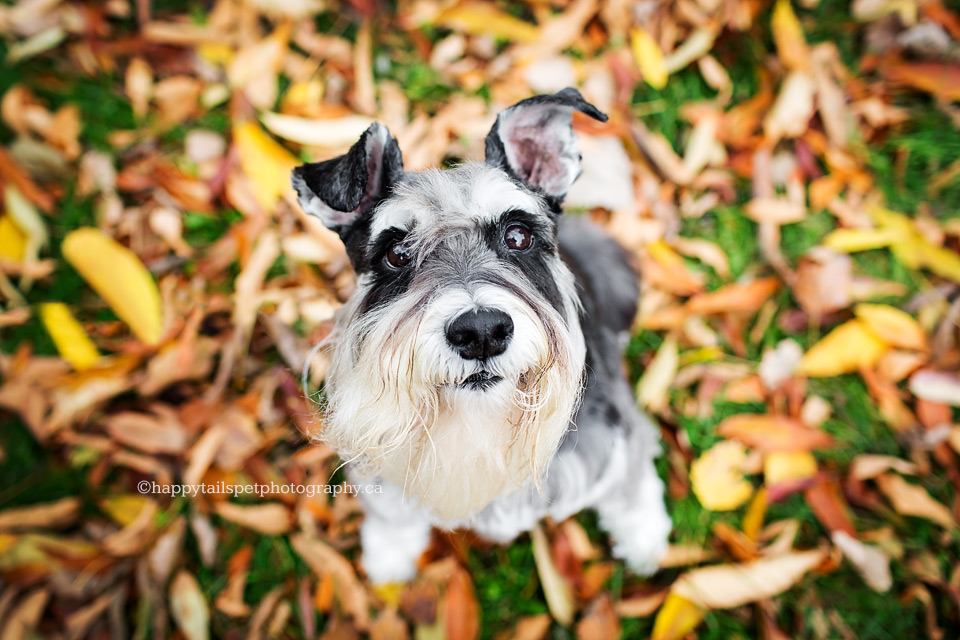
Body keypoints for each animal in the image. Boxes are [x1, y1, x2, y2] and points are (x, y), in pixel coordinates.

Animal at [290, 87, 668, 584]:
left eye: (518, 236)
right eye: (396, 252)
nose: (481, 331)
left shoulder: (617, 447)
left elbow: (632, 491)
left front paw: (645, 541)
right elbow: (392, 513)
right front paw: (388, 555)